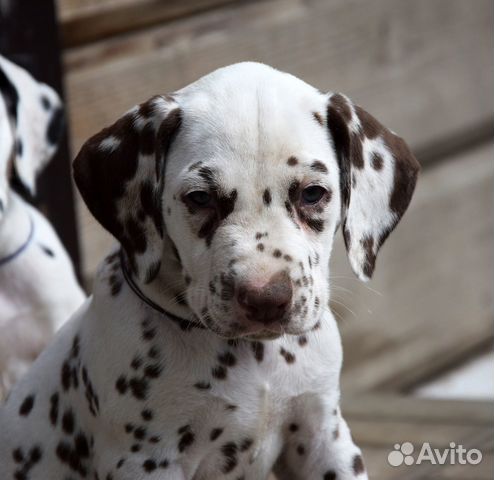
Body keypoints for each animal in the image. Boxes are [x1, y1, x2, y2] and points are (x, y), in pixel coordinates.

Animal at [0, 62, 418, 478]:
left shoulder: (323, 438)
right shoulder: (146, 461)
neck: (256, 360)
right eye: (200, 198)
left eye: (312, 193)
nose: (265, 299)